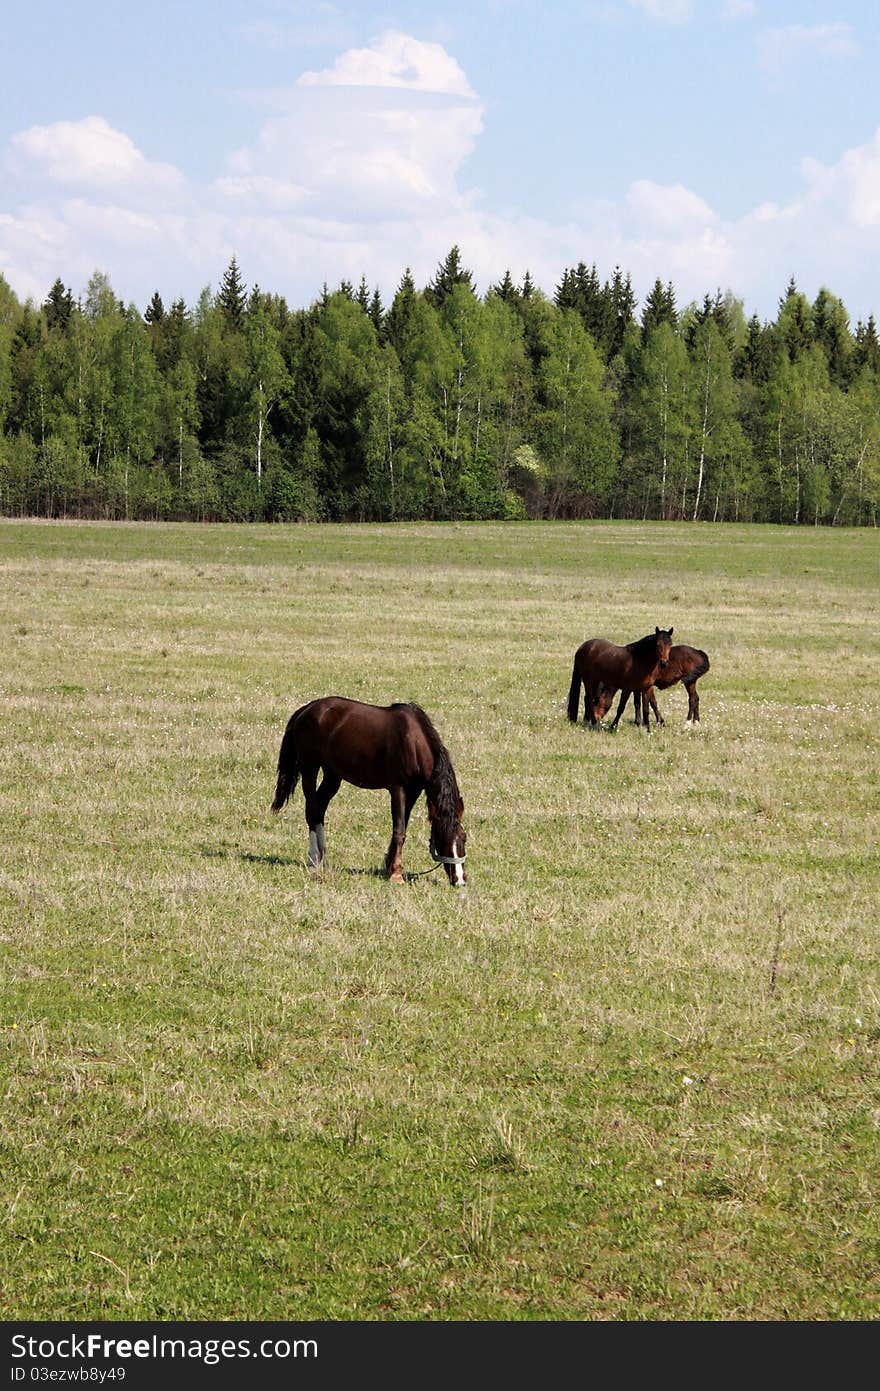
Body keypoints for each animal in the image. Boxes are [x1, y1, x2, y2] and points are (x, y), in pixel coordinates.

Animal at [271, 701, 467, 884]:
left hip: (332, 775)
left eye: (463, 838)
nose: (460, 880)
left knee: (319, 810)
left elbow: (402, 827)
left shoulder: (413, 792)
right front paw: (396, 874)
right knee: (312, 811)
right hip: (310, 768)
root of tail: (306, 709)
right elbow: (399, 830)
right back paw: (313, 859)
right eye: (442, 839)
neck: (413, 742)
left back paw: (322, 858)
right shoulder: (398, 789)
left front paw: (390, 865)